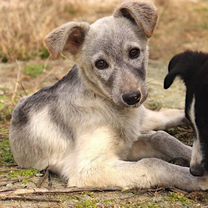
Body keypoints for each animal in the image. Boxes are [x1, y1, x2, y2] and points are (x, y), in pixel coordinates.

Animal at [9, 0, 208, 191]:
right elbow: (152, 163)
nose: (132, 97)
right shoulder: (90, 167)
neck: (105, 104)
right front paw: (197, 179)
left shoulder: (126, 145)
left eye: (134, 52)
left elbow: (162, 139)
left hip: (145, 119)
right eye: (101, 64)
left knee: (161, 124)